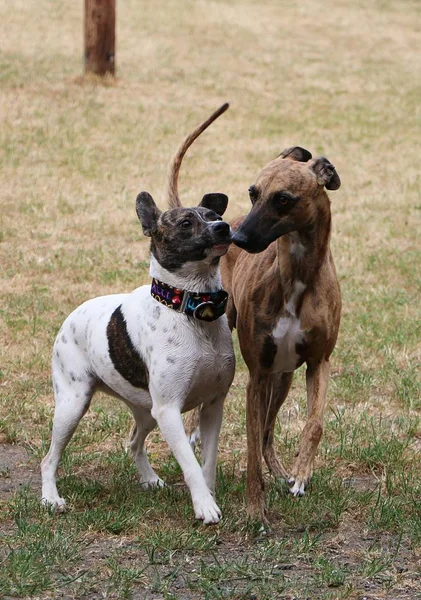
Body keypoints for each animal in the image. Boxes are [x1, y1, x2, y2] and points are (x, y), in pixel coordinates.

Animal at [41, 105, 236, 524]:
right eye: (186, 223)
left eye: (213, 213)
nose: (224, 226)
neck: (191, 308)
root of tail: (73, 314)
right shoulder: (171, 411)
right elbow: (190, 464)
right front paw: (204, 506)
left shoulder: (211, 406)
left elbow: (207, 462)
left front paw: (210, 495)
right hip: (73, 404)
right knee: (49, 458)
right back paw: (51, 498)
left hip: (145, 410)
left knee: (133, 442)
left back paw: (149, 479)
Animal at [223, 146, 342, 524]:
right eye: (253, 193)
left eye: (284, 199)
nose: (237, 240)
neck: (297, 276)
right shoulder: (257, 376)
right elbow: (249, 449)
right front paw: (254, 511)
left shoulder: (319, 362)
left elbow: (314, 424)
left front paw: (301, 474)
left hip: (284, 378)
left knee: (267, 433)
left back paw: (280, 472)